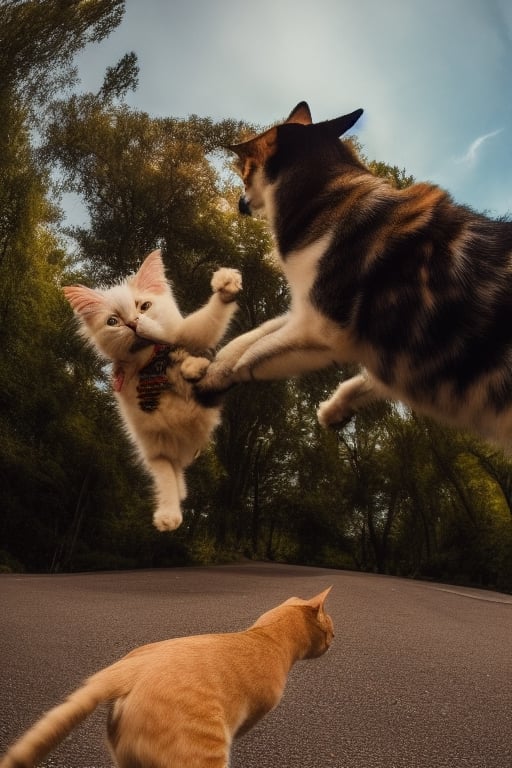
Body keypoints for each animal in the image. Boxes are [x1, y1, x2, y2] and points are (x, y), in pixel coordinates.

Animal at [64, 249, 242, 532]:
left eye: (144, 306)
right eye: (113, 321)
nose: (133, 323)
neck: (150, 362)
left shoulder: (186, 335)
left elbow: (205, 324)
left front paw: (225, 285)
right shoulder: (153, 445)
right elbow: (165, 476)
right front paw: (168, 516)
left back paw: (195, 366)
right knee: (173, 473)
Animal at [197, 102, 512, 450]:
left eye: (244, 171)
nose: (239, 204)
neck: (328, 199)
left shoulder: (320, 330)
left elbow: (252, 356)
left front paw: (213, 380)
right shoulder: (310, 311)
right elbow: (250, 338)